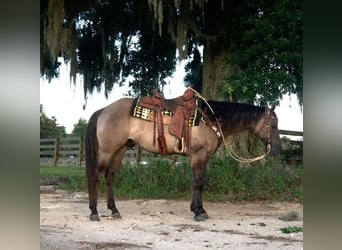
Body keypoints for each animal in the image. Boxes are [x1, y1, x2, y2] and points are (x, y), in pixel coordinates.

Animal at [85, 89, 280, 221]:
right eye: (273, 124)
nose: (276, 149)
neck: (210, 118)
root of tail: (104, 110)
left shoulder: (204, 158)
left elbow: (199, 182)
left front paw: (199, 209)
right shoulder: (199, 155)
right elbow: (197, 183)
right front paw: (198, 212)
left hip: (120, 150)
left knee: (110, 177)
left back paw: (114, 210)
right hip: (107, 151)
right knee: (96, 176)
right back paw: (94, 212)